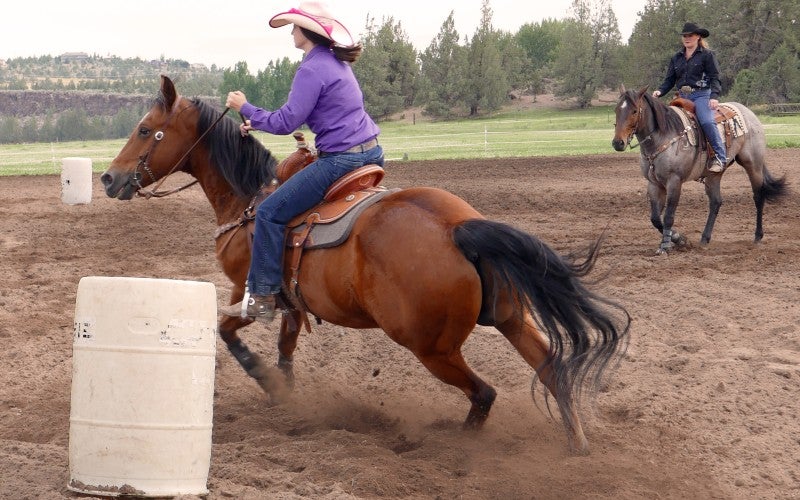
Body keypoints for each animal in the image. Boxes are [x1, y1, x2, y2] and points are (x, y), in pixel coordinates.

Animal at [100, 74, 628, 454]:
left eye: (145, 129)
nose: (108, 178)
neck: (250, 200)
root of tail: (458, 227)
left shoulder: (248, 290)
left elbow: (227, 332)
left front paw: (269, 382)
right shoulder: (291, 304)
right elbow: (285, 348)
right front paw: (287, 395)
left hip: (431, 347)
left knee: (485, 393)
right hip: (510, 318)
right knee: (552, 369)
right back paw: (577, 443)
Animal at [612, 84, 788, 254]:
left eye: (634, 111)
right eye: (617, 110)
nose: (617, 143)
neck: (663, 137)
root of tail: (748, 113)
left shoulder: (674, 181)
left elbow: (668, 216)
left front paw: (667, 245)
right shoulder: (654, 184)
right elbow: (655, 218)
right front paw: (680, 239)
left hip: (753, 164)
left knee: (758, 197)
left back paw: (758, 236)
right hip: (714, 175)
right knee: (716, 202)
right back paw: (705, 238)